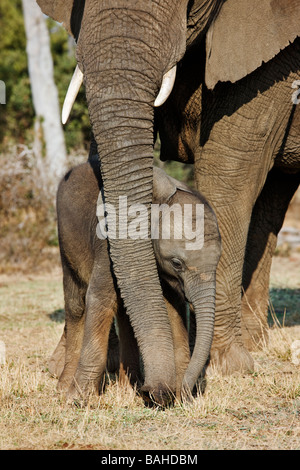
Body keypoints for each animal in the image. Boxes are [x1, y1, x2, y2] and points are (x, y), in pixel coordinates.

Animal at [49, 159, 220, 404]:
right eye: (177, 263)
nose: (182, 394)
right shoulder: (108, 249)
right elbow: (100, 299)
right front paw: (77, 400)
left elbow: (173, 307)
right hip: (65, 238)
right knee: (76, 303)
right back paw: (64, 388)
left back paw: (127, 388)